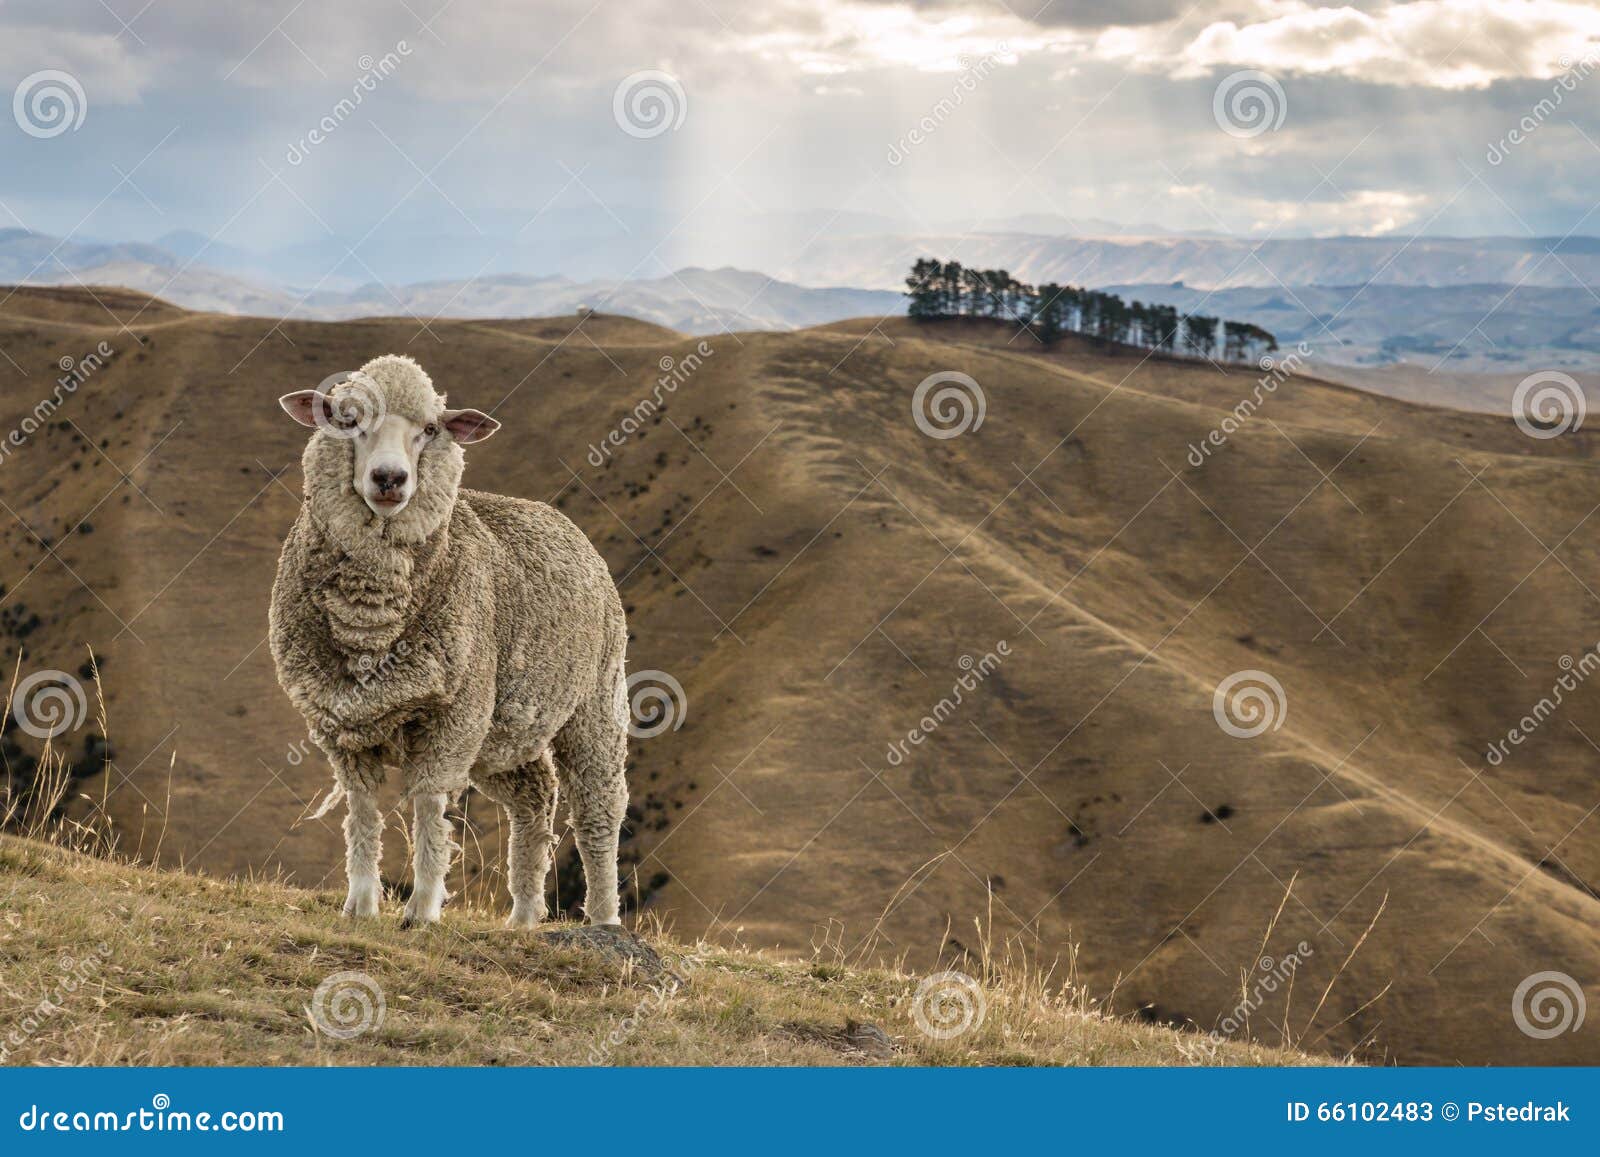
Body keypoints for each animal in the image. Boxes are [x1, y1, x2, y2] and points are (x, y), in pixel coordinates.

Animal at [268, 356, 630, 928]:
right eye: (346, 420)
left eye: (430, 429)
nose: (389, 478)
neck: (371, 620)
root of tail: (561, 520)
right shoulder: (342, 726)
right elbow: (362, 811)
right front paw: (361, 904)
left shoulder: (453, 720)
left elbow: (427, 808)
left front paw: (421, 908)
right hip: (504, 731)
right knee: (535, 797)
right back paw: (524, 918)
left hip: (595, 703)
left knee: (598, 810)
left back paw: (604, 920)